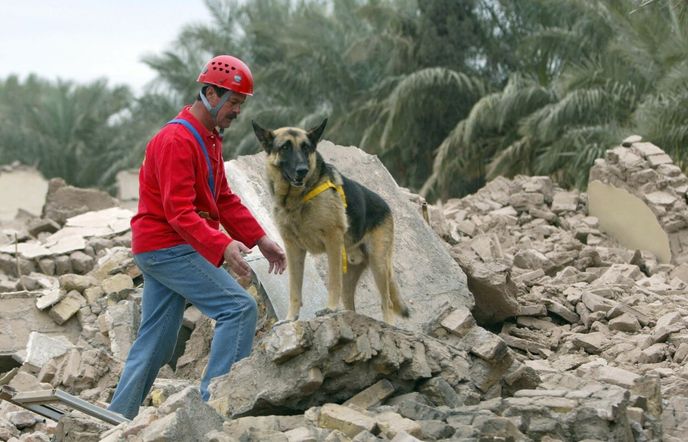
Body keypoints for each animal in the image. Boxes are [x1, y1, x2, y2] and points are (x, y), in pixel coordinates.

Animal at [255, 118, 412, 324]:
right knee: (351, 305)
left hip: (378, 263)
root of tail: (386, 205)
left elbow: (332, 281)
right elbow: (294, 290)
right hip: (351, 272)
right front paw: (290, 318)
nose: (302, 170)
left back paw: (387, 324)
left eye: (306, 148)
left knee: (387, 302)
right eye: (285, 147)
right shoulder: (293, 249)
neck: (296, 200)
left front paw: (329, 308)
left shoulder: (332, 240)